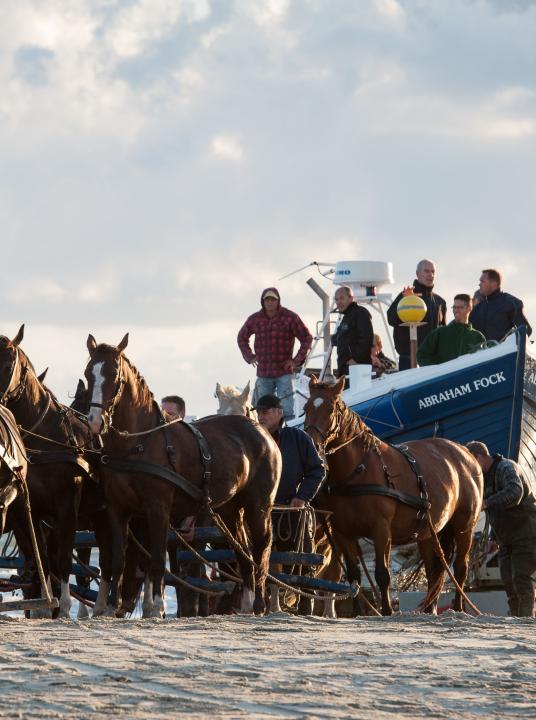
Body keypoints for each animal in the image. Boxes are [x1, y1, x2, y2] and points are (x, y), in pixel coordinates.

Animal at [84, 334, 280, 616]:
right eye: (89, 374)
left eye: (114, 375)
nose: (95, 421)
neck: (138, 443)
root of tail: (262, 432)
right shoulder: (117, 509)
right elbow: (119, 559)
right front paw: (111, 607)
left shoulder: (158, 509)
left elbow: (156, 560)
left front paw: (156, 607)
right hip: (231, 509)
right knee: (243, 553)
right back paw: (246, 605)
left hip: (259, 506)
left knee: (261, 549)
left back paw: (259, 604)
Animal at [304, 374, 484, 616]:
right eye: (305, 408)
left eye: (330, 408)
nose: (311, 443)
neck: (359, 469)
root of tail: (465, 452)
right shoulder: (343, 533)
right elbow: (353, 576)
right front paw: (358, 613)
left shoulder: (381, 529)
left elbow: (382, 574)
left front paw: (387, 610)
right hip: (429, 532)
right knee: (434, 570)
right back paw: (430, 609)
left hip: (464, 526)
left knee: (460, 568)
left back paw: (457, 608)